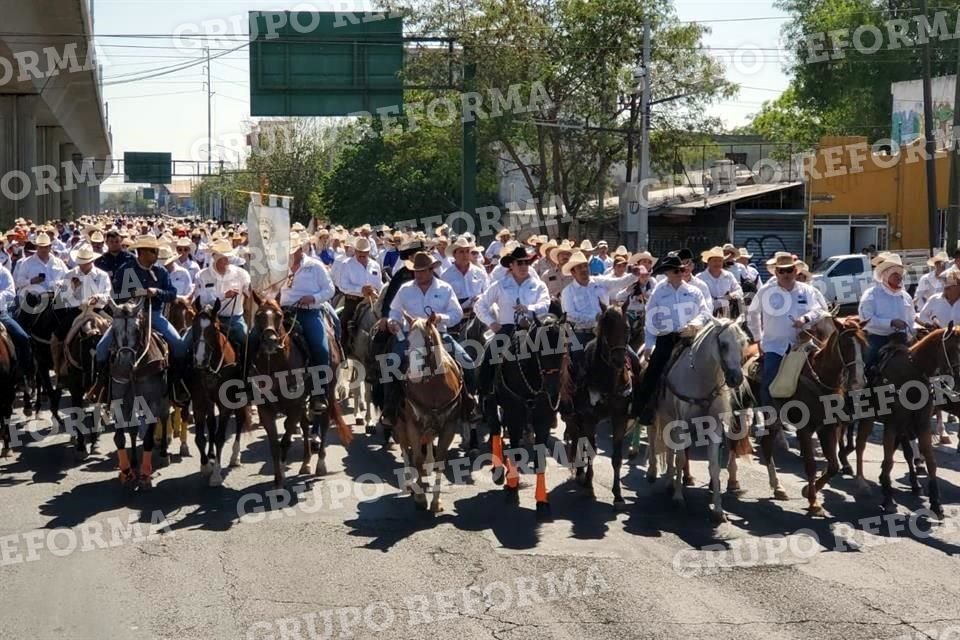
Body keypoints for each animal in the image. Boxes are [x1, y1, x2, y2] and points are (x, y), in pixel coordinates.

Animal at [394, 312, 462, 512]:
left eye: (429, 341)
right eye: (408, 340)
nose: (414, 374)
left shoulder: (449, 427)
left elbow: (440, 460)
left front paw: (436, 502)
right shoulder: (413, 425)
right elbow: (416, 458)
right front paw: (420, 498)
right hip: (400, 424)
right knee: (405, 450)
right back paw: (410, 483)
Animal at [644, 318, 752, 524]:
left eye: (743, 343)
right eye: (723, 344)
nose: (736, 378)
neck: (700, 379)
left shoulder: (714, 428)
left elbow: (714, 466)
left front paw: (718, 509)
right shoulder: (682, 426)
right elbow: (680, 459)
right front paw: (678, 498)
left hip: (670, 418)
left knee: (669, 448)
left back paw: (669, 482)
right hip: (657, 414)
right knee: (653, 438)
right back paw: (652, 472)